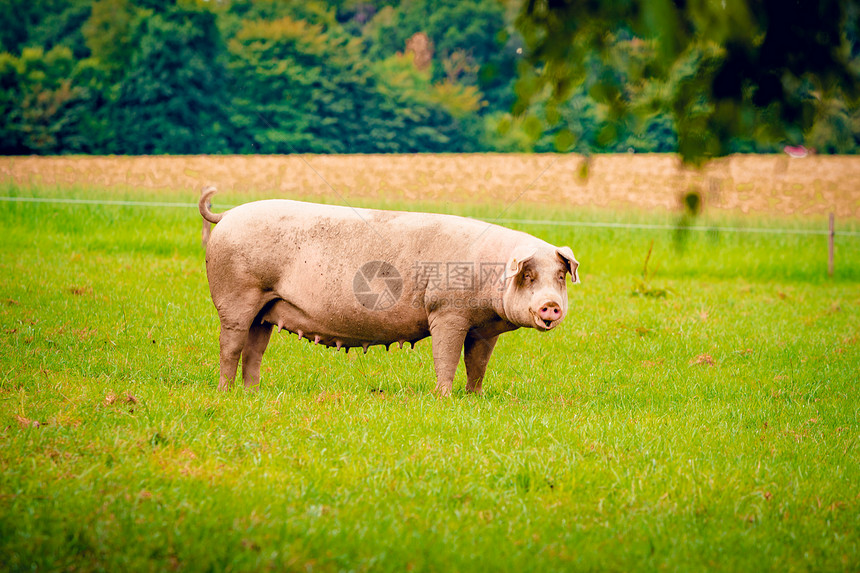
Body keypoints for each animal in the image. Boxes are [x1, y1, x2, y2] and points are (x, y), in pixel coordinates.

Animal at [198, 185, 580, 396]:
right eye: (528, 275)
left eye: (560, 276)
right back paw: (225, 391)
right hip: (237, 294)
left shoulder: (484, 329)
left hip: (266, 307)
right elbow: (446, 356)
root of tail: (226, 215)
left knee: (255, 349)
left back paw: (253, 393)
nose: (550, 305)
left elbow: (477, 364)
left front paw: (475, 397)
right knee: (231, 343)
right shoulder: (446, 311)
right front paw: (444, 397)